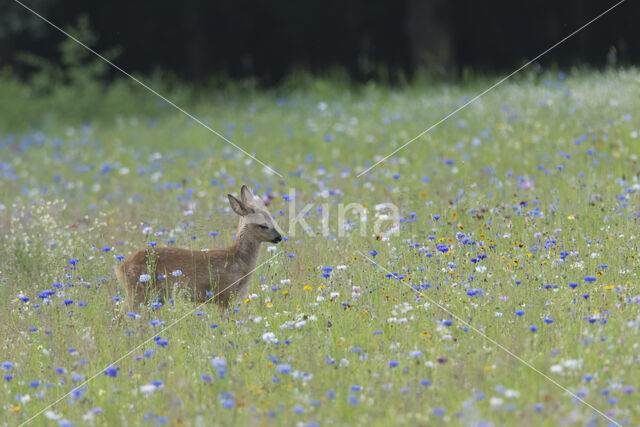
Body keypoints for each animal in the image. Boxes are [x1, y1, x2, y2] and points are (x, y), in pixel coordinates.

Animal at [114, 186, 282, 310]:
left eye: (271, 218)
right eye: (262, 225)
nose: (279, 237)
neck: (239, 261)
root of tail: (121, 266)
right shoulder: (224, 293)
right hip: (138, 292)